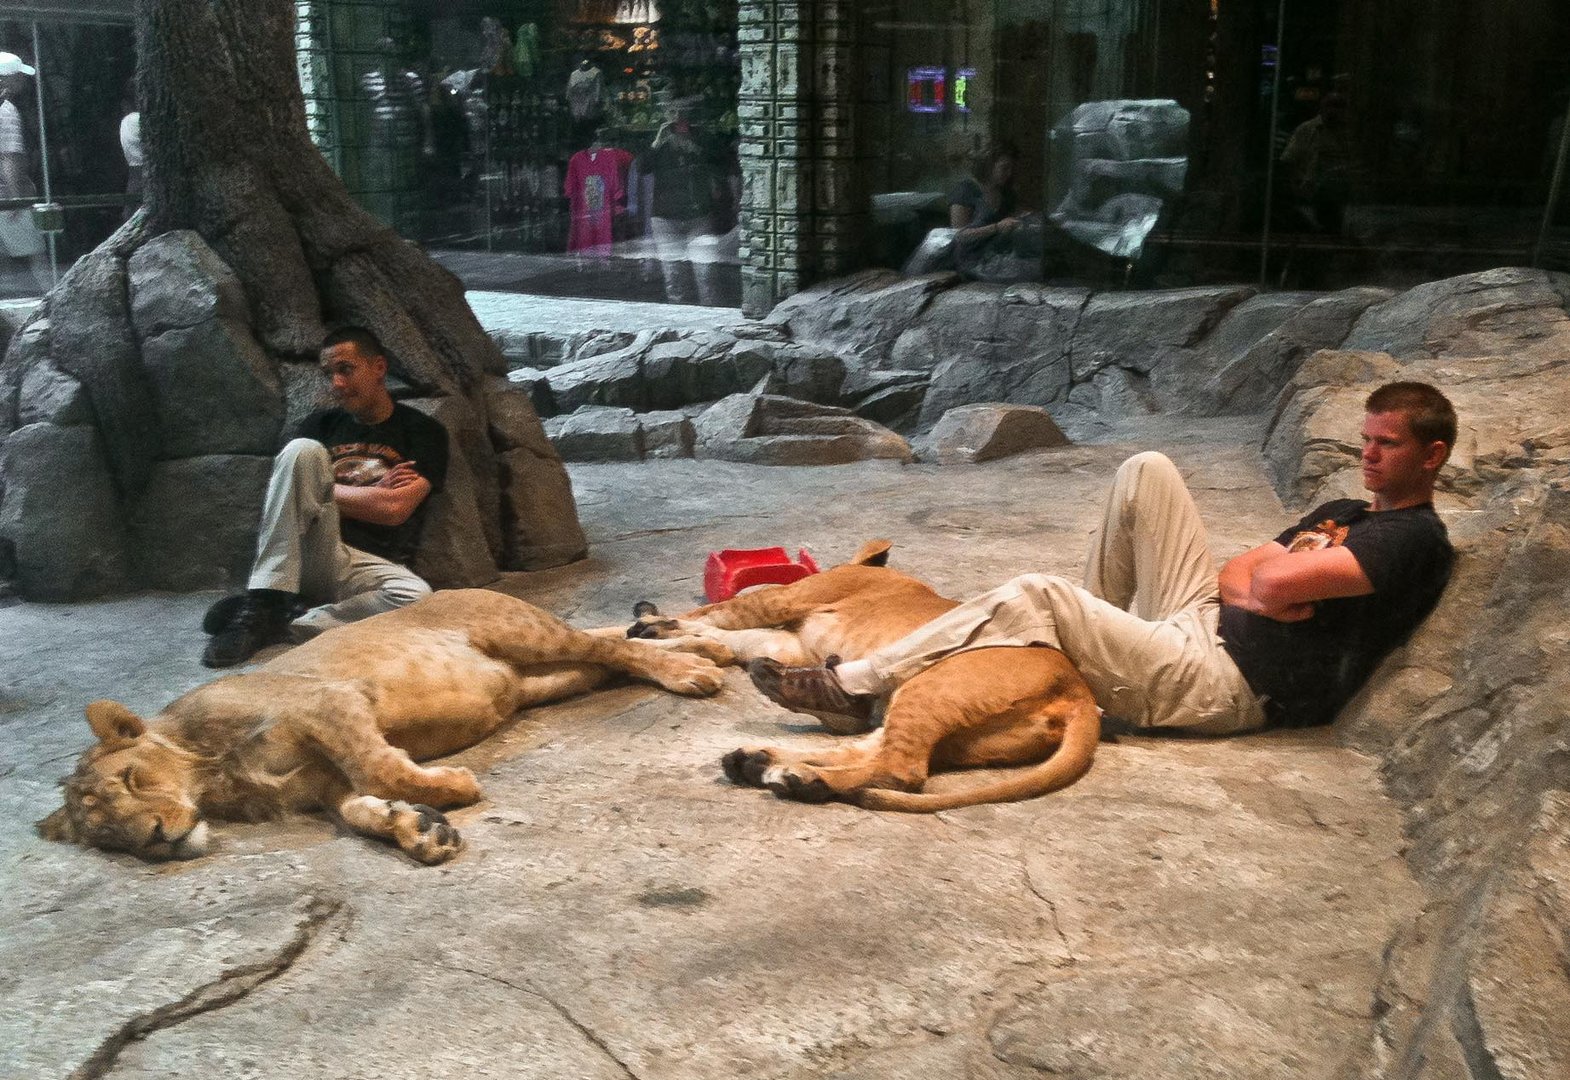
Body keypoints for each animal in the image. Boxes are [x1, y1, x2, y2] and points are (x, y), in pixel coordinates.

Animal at [41, 587, 728, 866]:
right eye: (108, 835)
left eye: (132, 778)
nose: (157, 838)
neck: (221, 785)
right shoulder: (325, 783)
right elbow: (358, 807)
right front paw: (418, 830)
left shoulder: (329, 702)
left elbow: (379, 766)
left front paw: (452, 788)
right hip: (549, 675)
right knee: (610, 645)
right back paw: (696, 645)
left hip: (526, 634)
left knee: (609, 645)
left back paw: (693, 667)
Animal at [631, 540, 1099, 810]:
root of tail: (1078, 692)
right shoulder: (789, 643)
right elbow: (724, 634)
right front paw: (671, 637)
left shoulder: (782, 601)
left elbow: (716, 614)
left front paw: (652, 623)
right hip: (937, 718)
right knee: (864, 750)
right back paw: (762, 762)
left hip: (931, 685)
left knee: (902, 771)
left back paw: (796, 778)